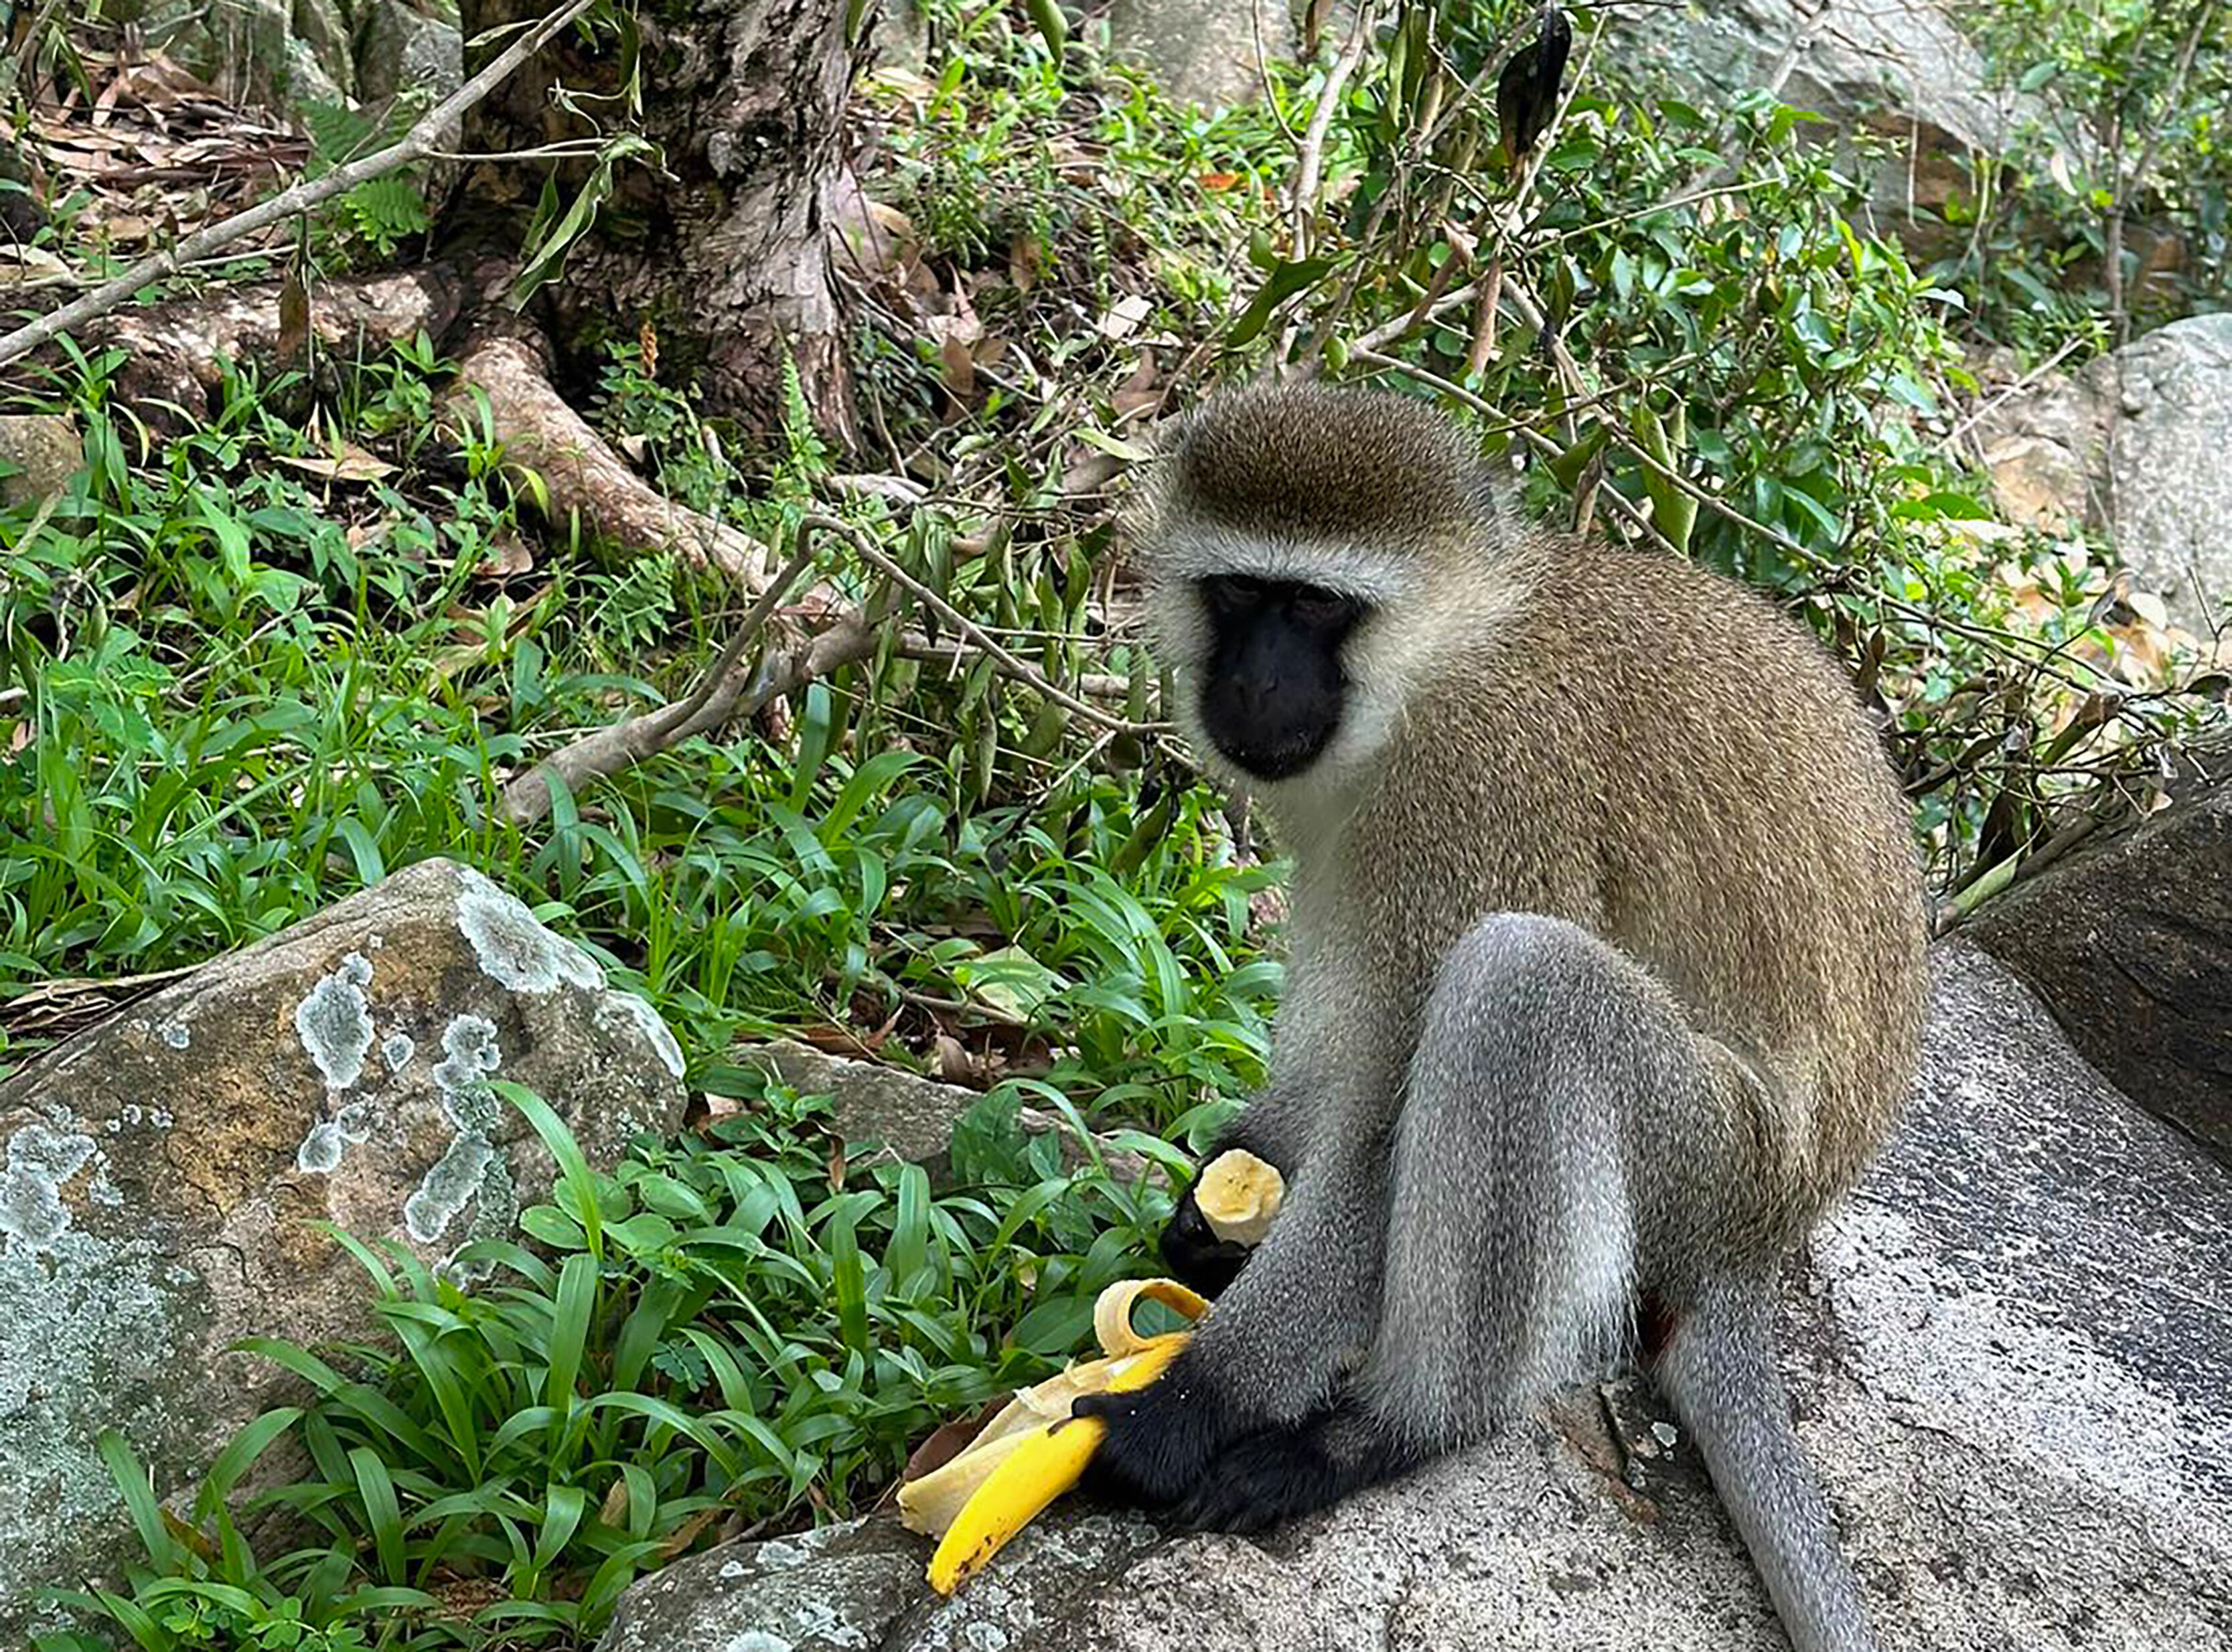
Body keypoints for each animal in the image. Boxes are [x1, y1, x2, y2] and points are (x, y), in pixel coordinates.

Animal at [1073, 382, 1927, 1652]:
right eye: (1236, 594)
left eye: (1316, 606)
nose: (1257, 685)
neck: (1438, 664)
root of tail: (1767, 1234)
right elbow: (1342, 1050)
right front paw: (1222, 1195)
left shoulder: (1476, 795)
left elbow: (1383, 1132)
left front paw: (1191, 1404)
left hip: (1706, 1159)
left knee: (1521, 986)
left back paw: (1388, 1435)